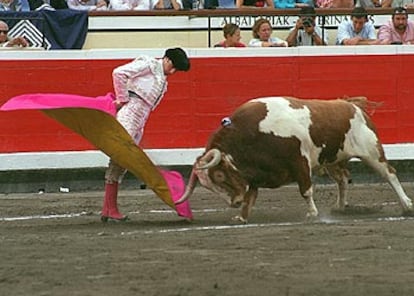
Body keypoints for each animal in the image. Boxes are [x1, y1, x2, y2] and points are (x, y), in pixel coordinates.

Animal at [175, 96, 414, 223]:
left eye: (219, 175)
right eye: (207, 186)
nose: (234, 202)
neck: (251, 133)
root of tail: (352, 105)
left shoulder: (300, 162)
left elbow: (305, 190)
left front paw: (312, 213)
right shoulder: (255, 173)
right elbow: (251, 197)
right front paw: (241, 217)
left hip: (371, 152)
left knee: (390, 174)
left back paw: (406, 205)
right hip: (332, 161)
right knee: (343, 179)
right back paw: (340, 206)